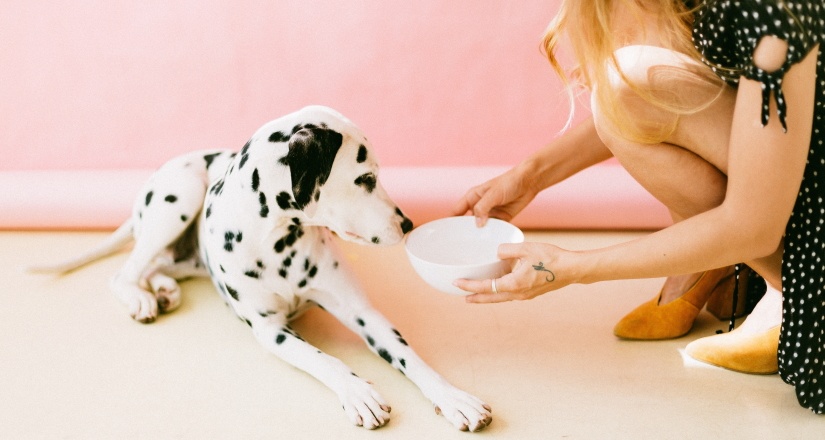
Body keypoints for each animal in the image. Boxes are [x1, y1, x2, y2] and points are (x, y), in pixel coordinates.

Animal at [33, 105, 490, 430]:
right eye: (365, 178)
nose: (408, 223)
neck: (278, 241)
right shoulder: (271, 331)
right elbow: (323, 360)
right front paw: (357, 392)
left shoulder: (364, 313)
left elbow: (411, 358)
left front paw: (453, 397)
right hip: (179, 197)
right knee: (124, 272)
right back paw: (141, 299)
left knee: (153, 266)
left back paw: (162, 289)